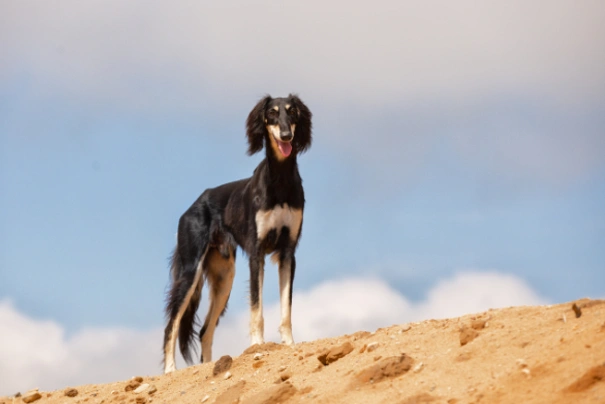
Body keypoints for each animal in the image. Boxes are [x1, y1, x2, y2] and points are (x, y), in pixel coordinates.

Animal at [162, 94, 312, 372]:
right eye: (272, 113)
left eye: (292, 111)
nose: (286, 136)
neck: (280, 180)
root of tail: (192, 206)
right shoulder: (257, 252)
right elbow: (257, 307)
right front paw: (258, 345)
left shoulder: (288, 252)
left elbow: (286, 308)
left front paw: (289, 344)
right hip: (190, 270)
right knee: (172, 324)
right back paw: (169, 370)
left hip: (224, 276)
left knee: (204, 331)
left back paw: (209, 365)